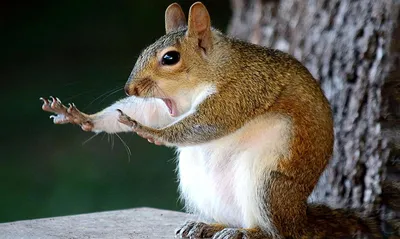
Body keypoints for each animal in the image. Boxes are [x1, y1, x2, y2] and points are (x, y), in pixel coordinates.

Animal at [38, 1, 394, 239]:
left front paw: (151, 132)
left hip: (267, 184)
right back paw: (209, 225)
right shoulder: (167, 104)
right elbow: (145, 110)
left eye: (170, 58)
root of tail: (299, 219)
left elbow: (209, 122)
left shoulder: (243, 90)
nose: (131, 88)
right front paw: (83, 117)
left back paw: (247, 233)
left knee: (276, 233)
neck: (214, 69)